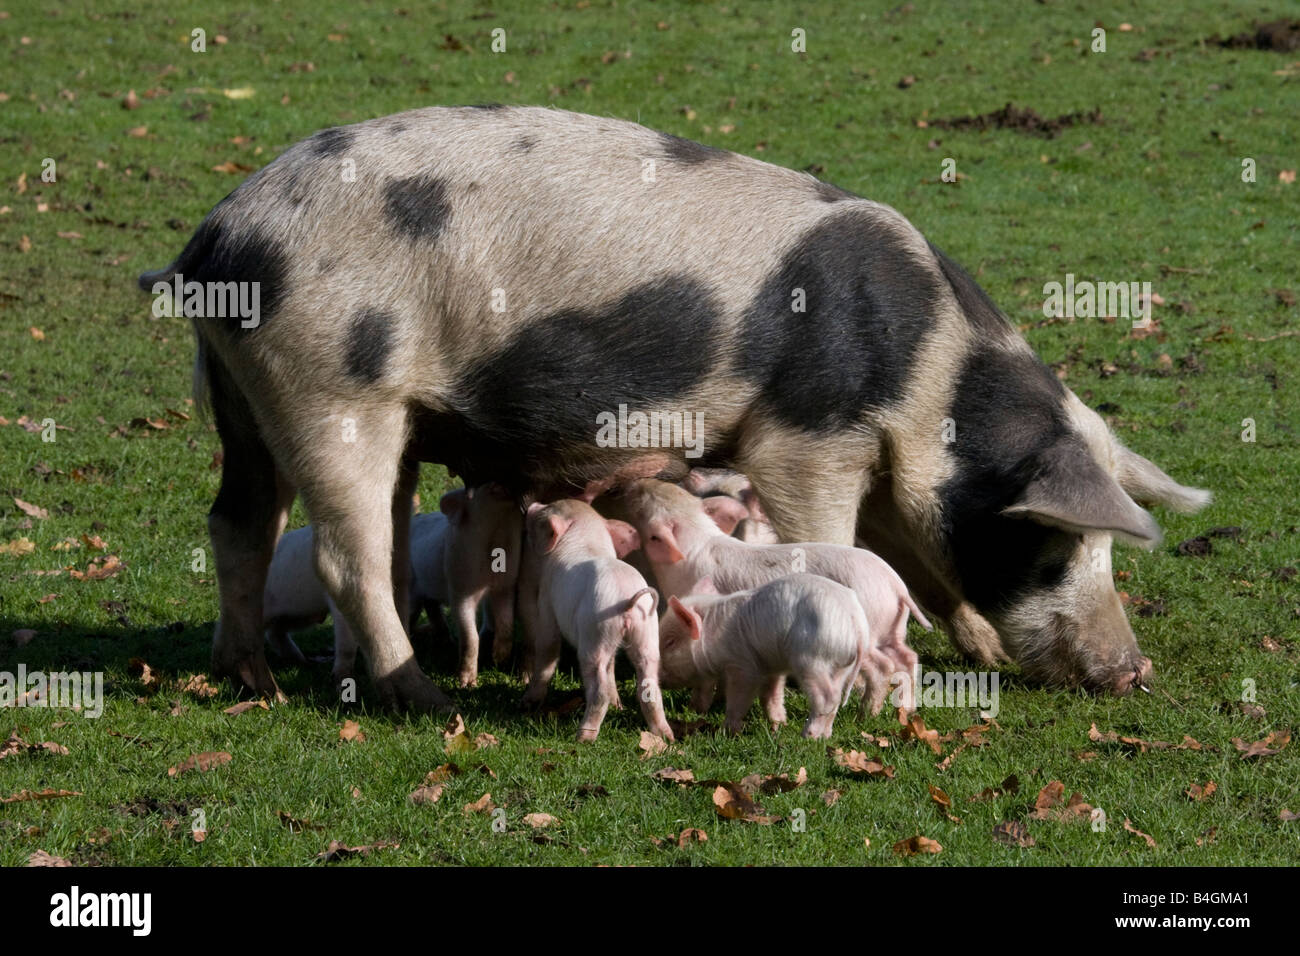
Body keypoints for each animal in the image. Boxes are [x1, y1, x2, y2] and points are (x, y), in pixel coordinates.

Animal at [142, 104, 1206, 707]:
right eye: (1055, 546)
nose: (1134, 671)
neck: (924, 381)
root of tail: (216, 239)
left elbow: (911, 552)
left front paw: (976, 644)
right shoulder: (804, 437)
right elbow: (837, 538)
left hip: (246, 391)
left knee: (239, 521)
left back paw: (252, 677)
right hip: (330, 384)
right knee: (344, 551)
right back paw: (418, 697)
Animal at [514, 496, 670, 743]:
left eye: (546, 511)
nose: (532, 505)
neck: (587, 534)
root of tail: (627, 599)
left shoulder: (547, 599)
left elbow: (548, 649)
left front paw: (525, 703)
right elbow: (611, 665)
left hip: (595, 631)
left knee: (599, 688)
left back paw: (583, 737)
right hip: (646, 631)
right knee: (649, 685)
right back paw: (666, 736)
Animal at [665, 574, 868, 738]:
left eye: (670, 642)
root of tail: (855, 621)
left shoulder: (743, 665)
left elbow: (739, 697)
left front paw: (726, 732)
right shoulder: (771, 665)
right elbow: (771, 696)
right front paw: (779, 725)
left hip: (813, 658)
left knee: (828, 698)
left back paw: (807, 736)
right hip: (842, 666)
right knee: (837, 697)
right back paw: (825, 736)